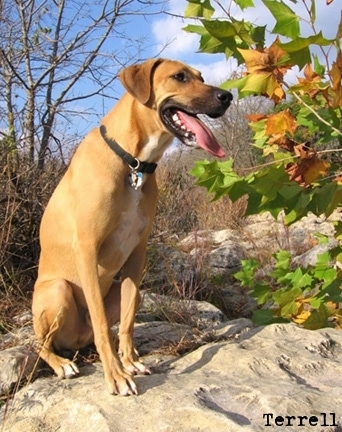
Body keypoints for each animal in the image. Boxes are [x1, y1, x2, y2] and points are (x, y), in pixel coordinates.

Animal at [32, 58, 232, 394]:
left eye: (202, 77)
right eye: (179, 77)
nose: (227, 96)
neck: (132, 162)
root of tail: (76, 340)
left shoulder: (137, 252)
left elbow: (126, 321)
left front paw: (130, 361)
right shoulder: (87, 248)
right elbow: (102, 324)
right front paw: (116, 375)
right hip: (57, 290)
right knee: (43, 344)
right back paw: (61, 363)